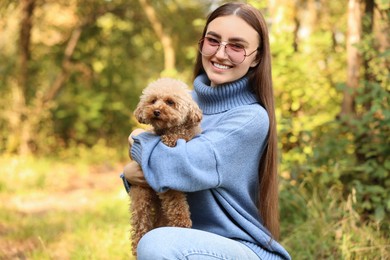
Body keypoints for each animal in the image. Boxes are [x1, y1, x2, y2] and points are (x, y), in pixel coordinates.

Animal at [129, 77, 201, 256]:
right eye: (153, 100)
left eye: (170, 102)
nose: (156, 111)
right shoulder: (167, 184)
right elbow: (176, 202)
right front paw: (182, 223)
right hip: (142, 198)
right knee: (140, 224)